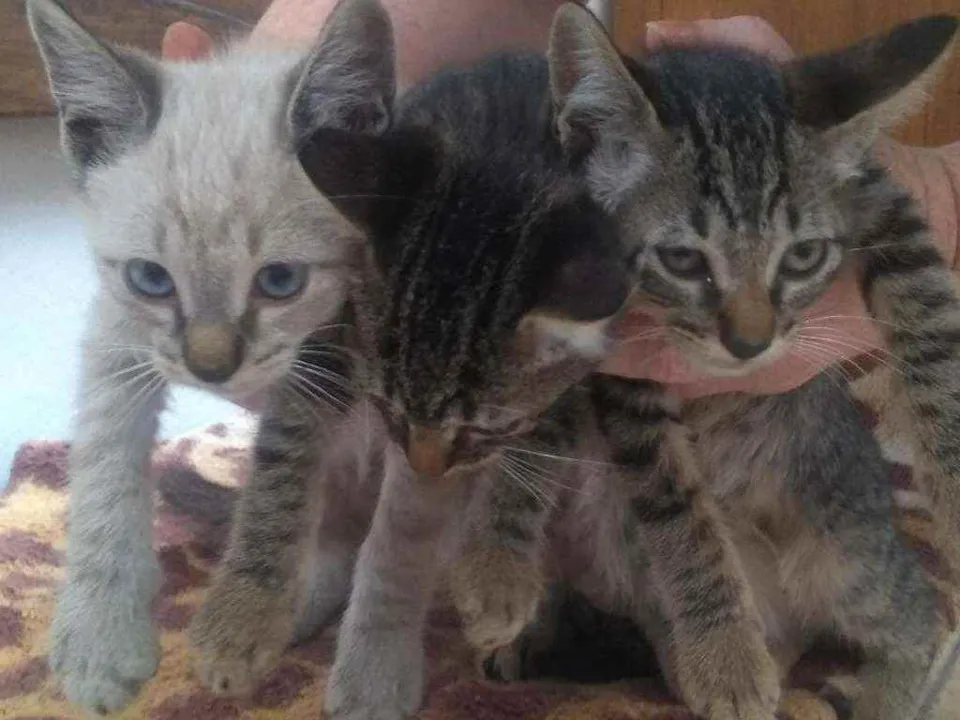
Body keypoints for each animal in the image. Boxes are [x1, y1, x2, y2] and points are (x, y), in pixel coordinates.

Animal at [25, 0, 395, 712]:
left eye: (280, 281)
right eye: (151, 278)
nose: (211, 369)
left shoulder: (338, 347)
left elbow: (291, 481)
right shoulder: (118, 334)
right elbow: (104, 466)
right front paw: (99, 640)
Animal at [185, 50, 633, 720]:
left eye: (484, 425)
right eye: (382, 401)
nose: (426, 466)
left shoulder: (578, 383)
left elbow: (537, 448)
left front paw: (497, 567)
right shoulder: (325, 342)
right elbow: (280, 467)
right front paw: (243, 613)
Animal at [457, 5, 957, 720]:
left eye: (803, 257)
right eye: (683, 260)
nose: (750, 345)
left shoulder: (879, 200)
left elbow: (930, 310)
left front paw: (955, 483)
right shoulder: (609, 370)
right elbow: (664, 501)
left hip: (843, 553)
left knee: (916, 617)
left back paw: (875, 691)